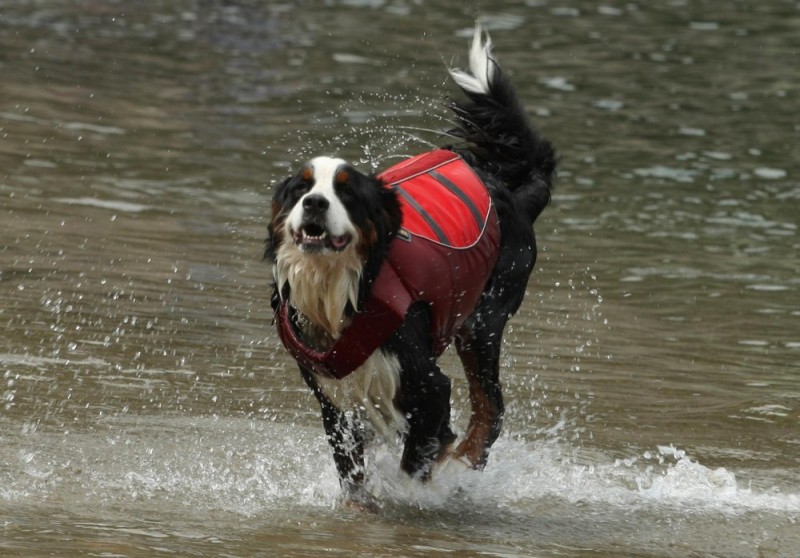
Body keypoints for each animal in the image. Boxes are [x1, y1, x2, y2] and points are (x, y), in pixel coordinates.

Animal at [266, 26, 552, 508]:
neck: (338, 290)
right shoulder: (335, 402)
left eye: (346, 193)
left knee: (491, 407)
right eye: (300, 189)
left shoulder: (429, 386)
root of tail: (509, 192)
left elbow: (415, 462)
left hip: (483, 321)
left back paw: (466, 462)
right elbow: (353, 473)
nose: (315, 203)